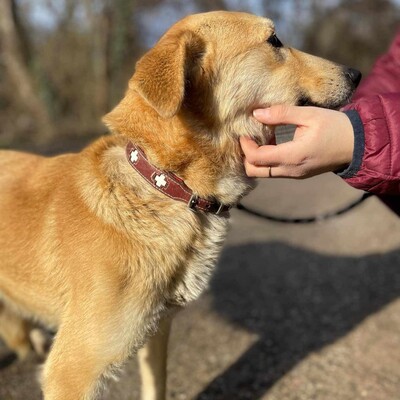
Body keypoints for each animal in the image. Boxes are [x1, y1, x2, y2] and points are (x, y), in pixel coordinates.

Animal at [0, 10, 360, 398]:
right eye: (274, 41)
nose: (356, 74)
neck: (163, 183)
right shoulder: (72, 371)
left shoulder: (157, 330)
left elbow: (155, 386)